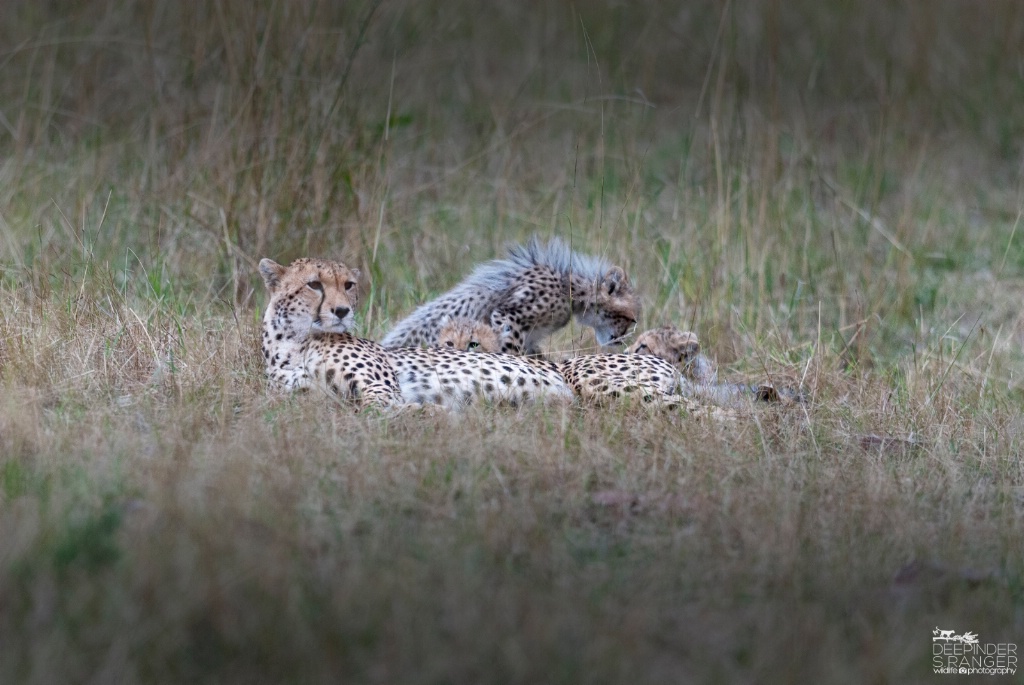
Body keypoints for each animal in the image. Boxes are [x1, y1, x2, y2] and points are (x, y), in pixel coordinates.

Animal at [260, 254, 573, 405]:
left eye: (348, 285)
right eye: (314, 284)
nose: (342, 311)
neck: (296, 341)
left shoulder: (380, 387)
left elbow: (382, 409)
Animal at [382, 236, 638, 356]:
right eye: (631, 319)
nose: (622, 340)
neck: (569, 285)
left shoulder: (531, 339)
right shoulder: (508, 316)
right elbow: (512, 352)